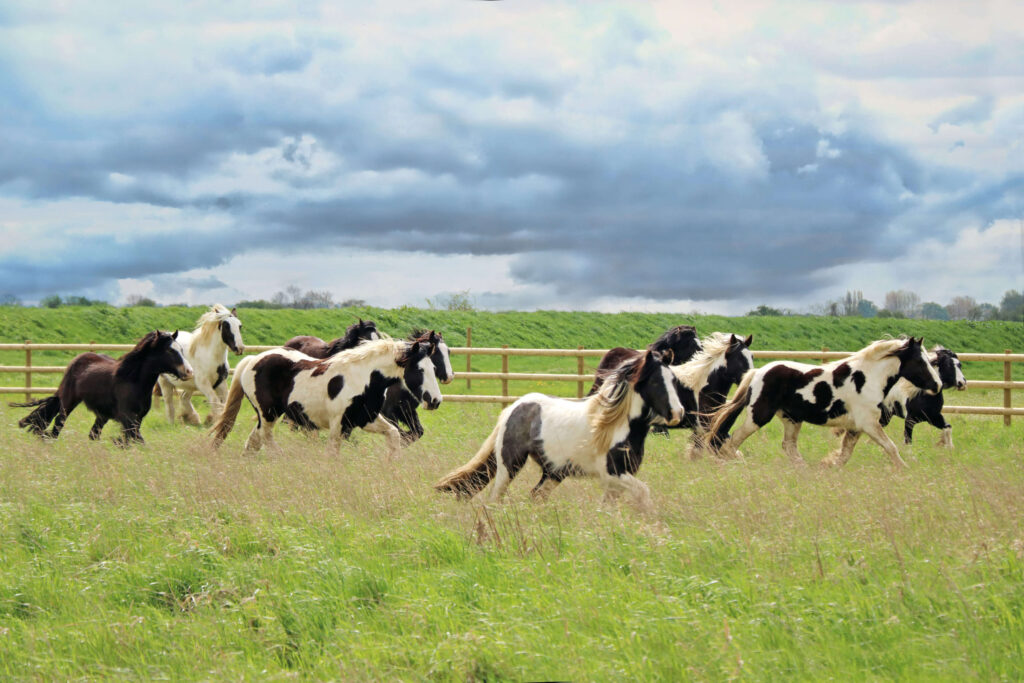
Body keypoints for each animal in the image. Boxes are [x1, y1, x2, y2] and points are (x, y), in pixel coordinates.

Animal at [11, 331, 192, 448]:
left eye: (181, 350)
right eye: (169, 350)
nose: (189, 371)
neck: (133, 380)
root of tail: (76, 360)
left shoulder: (138, 418)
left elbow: (133, 441)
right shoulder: (127, 418)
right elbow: (137, 441)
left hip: (102, 415)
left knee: (93, 434)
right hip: (68, 402)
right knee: (58, 425)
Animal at [209, 333, 442, 456]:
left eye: (433, 368)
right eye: (419, 370)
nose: (435, 401)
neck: (364, 378)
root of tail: (252, 360)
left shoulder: (366, 419)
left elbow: (394, 436)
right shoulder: (338, 424)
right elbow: (333, 453)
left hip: (267, 416)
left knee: (254, 441)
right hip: (268, 413)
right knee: (266, 439)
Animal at [434, 350, 684, 509]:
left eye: (674, 380)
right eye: (655, 382)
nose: (677, 413)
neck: (615, 426)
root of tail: (513, 408)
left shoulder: (617, 479)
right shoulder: (613, 474)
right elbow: (644, 494)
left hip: (553, 472)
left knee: (535, 496)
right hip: (510, 464)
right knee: (496, 496)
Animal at [708, 337, 937, 471]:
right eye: (920, 360)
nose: (937, 384)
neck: (869, 378)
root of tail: (757, 373)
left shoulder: (856, 427)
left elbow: (845, 453)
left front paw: (829, 465)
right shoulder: (869, 424)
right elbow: (890, 447)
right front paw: (905, 468)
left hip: (792, 419)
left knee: (788, 446)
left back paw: (804, 469)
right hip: (759, 415)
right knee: (733, 441)